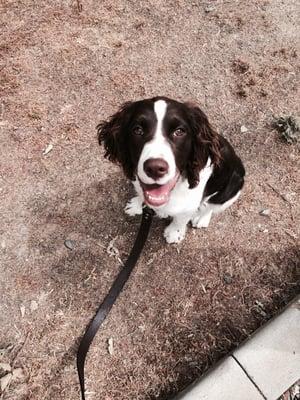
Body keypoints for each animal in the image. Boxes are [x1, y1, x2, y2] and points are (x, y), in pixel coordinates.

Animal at [97, 97, 245, 244]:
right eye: (137, 130)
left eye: (179, 131)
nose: (155, 168)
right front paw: (136, 205)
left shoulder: (189, 205)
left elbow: (181, 218)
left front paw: (174, 233)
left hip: (232, 187)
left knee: (211, 206)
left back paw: (201, 218)